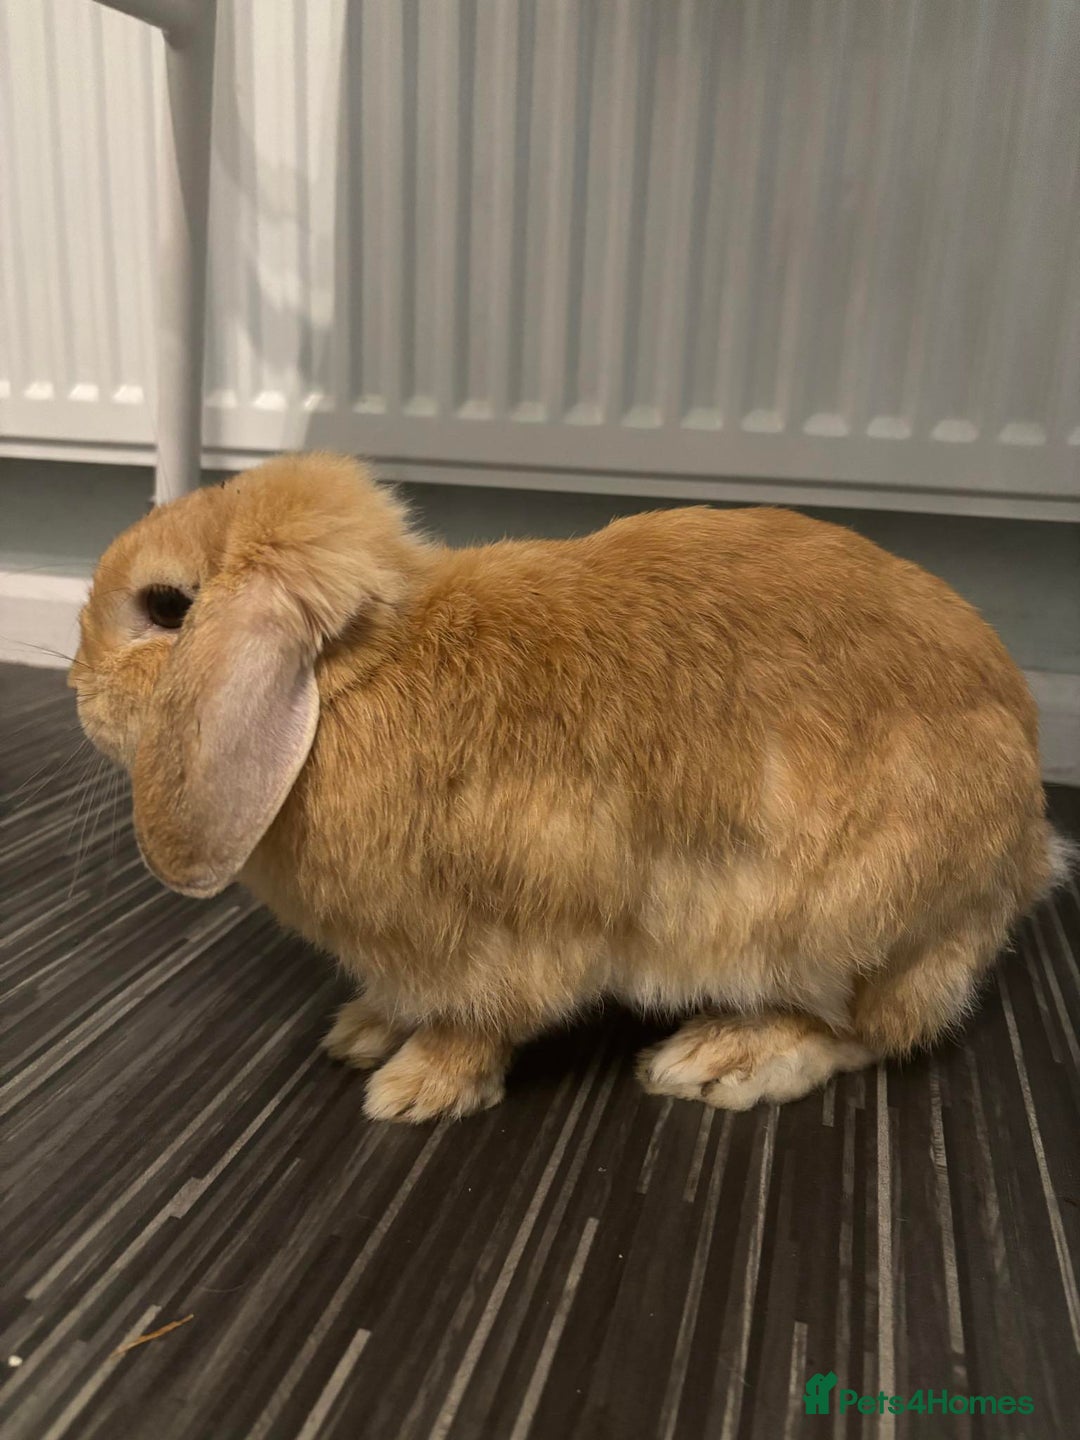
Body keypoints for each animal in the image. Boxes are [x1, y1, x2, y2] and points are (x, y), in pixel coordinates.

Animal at [70, 452, 1071, 1123]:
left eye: (167, 608)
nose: (75, 690)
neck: (358, 680)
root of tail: (1027, 852)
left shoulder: (508, 935)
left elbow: (480, 1021)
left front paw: (413, 1088)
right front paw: (362, 1030)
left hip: (841, 921)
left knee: (867, 1032)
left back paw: (716, 1060)